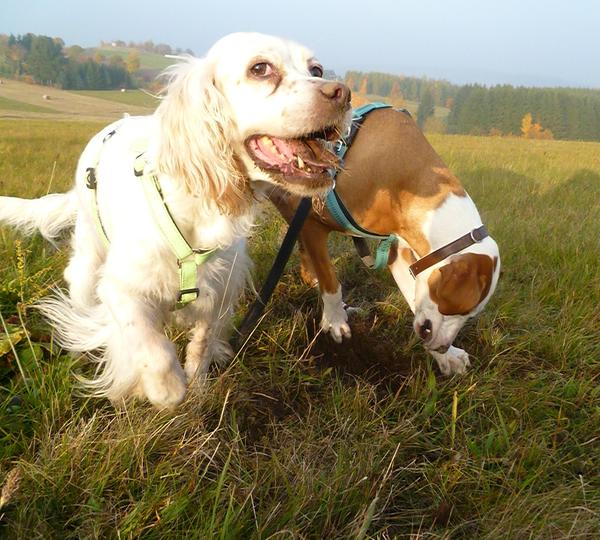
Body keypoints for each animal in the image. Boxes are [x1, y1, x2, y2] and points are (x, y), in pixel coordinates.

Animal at [0, 31, 352, 408]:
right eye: (260, 68)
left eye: (316, 69)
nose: (343, 93)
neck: (197, 210)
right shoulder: (121, 288)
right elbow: (151, 347)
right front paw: (163, 388)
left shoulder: (219, 292)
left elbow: (201, 344)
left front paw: (197, 386)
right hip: (86, 267)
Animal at [270, 106, 500, 376]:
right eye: (457, 309)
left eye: (470, 316)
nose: (443, 347)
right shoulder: (312, 223)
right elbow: (331, 282)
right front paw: (335, 321)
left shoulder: (398, 252)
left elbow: (414, 299)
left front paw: (446, 357)